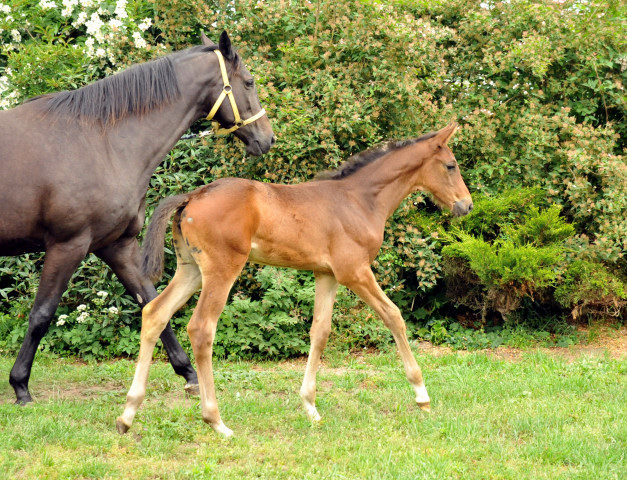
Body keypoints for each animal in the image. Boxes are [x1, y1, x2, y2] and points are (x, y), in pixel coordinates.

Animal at [0, 31, 274, 404]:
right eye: (248, 81)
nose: (267, 138)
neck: (101, 143)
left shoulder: (117, 245)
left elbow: (153, 304)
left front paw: (189, 374)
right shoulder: (67, 245)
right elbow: (41, 314)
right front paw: (21, 385)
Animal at [116, 122, 472, 436]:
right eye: (451, 165)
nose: (466, 205)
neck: (359, 200)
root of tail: (193, 196)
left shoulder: (327, 274)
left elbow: (320, 332)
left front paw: (310, 407)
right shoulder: (354, 271)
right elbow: (394, 316)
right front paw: (422, 395)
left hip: (190, 270)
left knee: (155, 313)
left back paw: (128, 414)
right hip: (222, 270)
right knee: (201, 328)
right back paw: (216, 421)